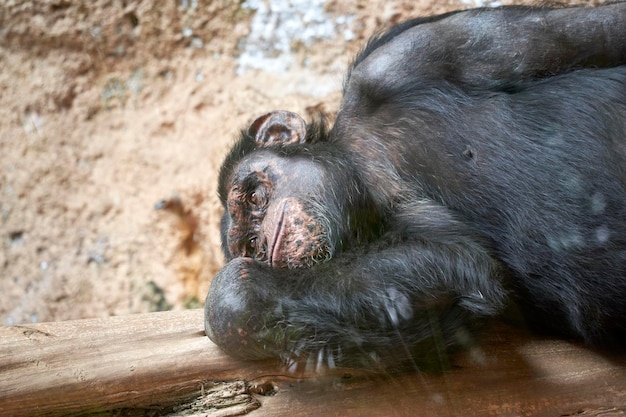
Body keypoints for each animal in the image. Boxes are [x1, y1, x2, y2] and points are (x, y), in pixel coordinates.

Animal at [205, 2, 624, 368]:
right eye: (252, 247)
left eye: (255, 196)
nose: (265, 242)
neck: (361, 168)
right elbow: (458, 265)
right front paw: (238, 296)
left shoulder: (412, 53)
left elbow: (589, 33)